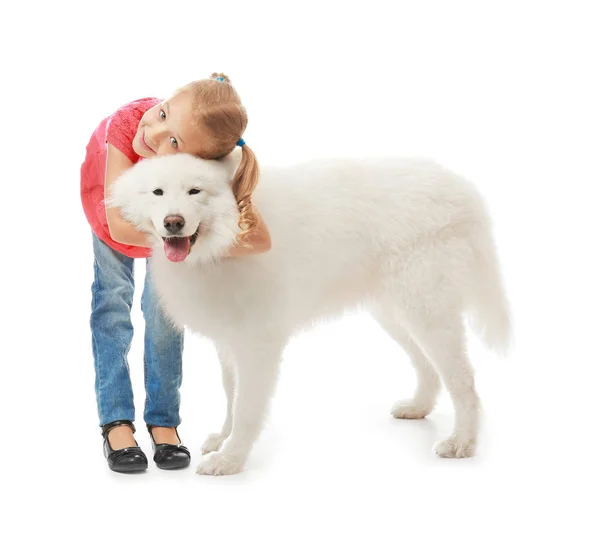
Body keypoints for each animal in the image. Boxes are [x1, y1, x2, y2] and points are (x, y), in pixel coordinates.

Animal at [108, 153, 510, 474]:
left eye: (195, 192)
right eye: (158, 193)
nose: (173, 222)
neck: (227, 240)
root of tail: (460, 187)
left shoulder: (257, 343)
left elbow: (247, 407)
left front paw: (231, 459)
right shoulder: (229, 340)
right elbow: (231, 397)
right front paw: (224, 438)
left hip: (426, 310)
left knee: (464, 382)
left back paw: (462, 443)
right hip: (396, 313)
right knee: (429, 367)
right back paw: (418, 408)